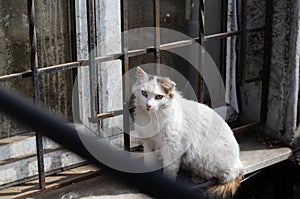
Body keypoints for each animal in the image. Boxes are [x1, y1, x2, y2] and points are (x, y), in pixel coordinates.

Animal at [133, 67, 244, 197]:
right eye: (144, 93)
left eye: (159, 97)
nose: (148, 105)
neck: (152, 118)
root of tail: (238, 163)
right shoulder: (149, 144)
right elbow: (149, 162)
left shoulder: (173, 147)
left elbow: (169, 169)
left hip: (205, 157)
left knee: (223, 176)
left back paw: (197, 178)